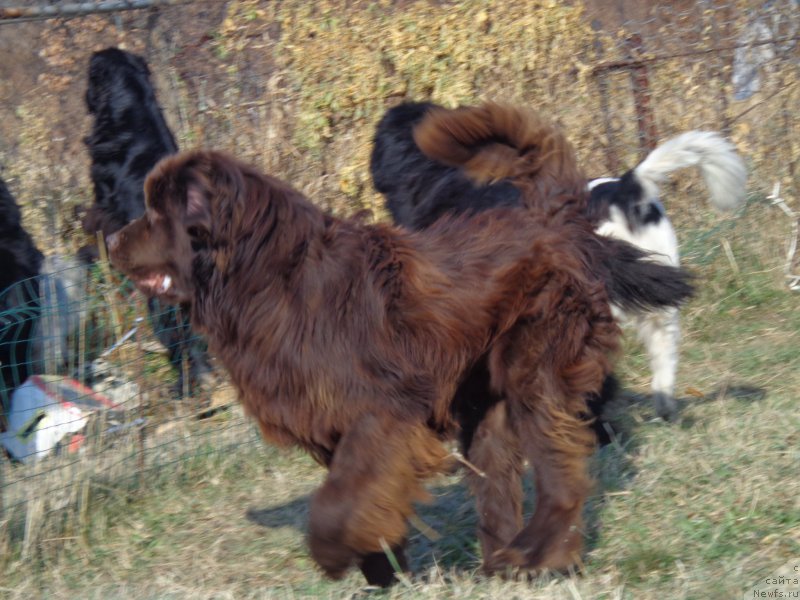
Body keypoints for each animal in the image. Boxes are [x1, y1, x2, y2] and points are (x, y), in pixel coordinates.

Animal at [106, 144, 636, 580]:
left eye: (156, 212)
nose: (109, 240)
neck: (265, 281)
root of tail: (560, 223)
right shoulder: (335, 422)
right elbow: (363, 495)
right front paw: (383, 569)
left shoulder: (382, 411)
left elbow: (337, 503)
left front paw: (332, 555)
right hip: (487, 401)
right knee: (497, 477)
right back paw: (503, 563)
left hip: (534, 365)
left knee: (559, 466)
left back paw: (542, 553)